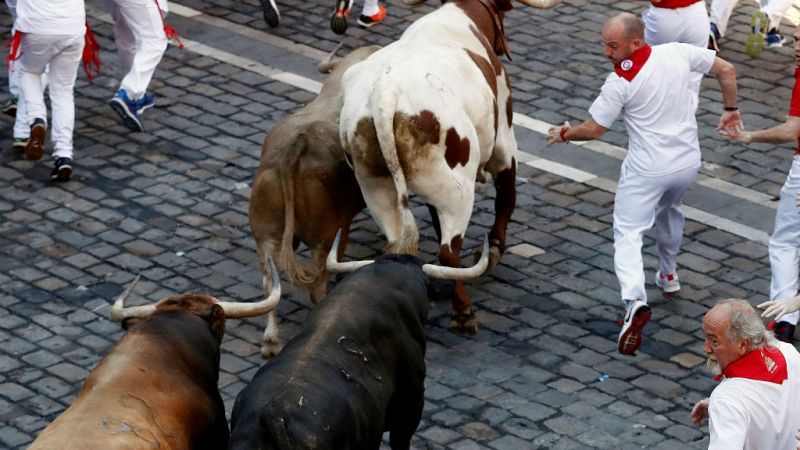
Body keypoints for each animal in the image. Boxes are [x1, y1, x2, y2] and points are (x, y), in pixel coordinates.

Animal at [250, 44, 382, 356]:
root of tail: (296, 146)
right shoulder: (342, 222)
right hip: (322, 236)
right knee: (317, 281)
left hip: (265, 235)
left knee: (269, 285)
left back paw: (271, 342)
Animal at [340, 0, 560, 332]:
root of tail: (385, 93)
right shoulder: (505, 146)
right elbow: (507, 199)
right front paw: (494, 249)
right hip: (458, 192)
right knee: (448, 252)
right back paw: (464, 310)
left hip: (377, 187)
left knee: (399, 243)